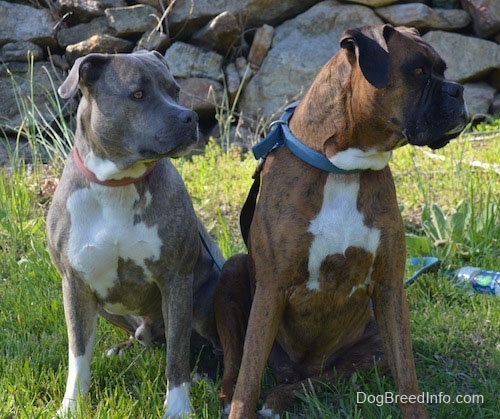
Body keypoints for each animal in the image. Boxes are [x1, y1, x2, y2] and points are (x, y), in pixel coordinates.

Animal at [47, 50, 223, 418]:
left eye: (175, 91)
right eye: (138, 94)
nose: (189, 117)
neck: (117, 183)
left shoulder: (175, 280)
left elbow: (177, 356)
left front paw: (179, 407)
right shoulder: (74, 285)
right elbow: (78, 353)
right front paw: (73, 405)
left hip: (210, 291)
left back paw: (206, 372)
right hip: (105, 308)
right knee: (144, 338)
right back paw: (125, 347)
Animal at [215, 24, 468, 418]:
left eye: (442, 70)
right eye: (418, 72)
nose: (458, 89)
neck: (342, 168)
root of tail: (296, 366)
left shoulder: (390, 289)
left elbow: (407, 376)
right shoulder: (271, 289)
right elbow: (249, 377)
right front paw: (240, 404)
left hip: (372, 347)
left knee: (317, 381)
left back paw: (280, 397)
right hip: (232, 272)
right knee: (236, 360)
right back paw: (230, 393)